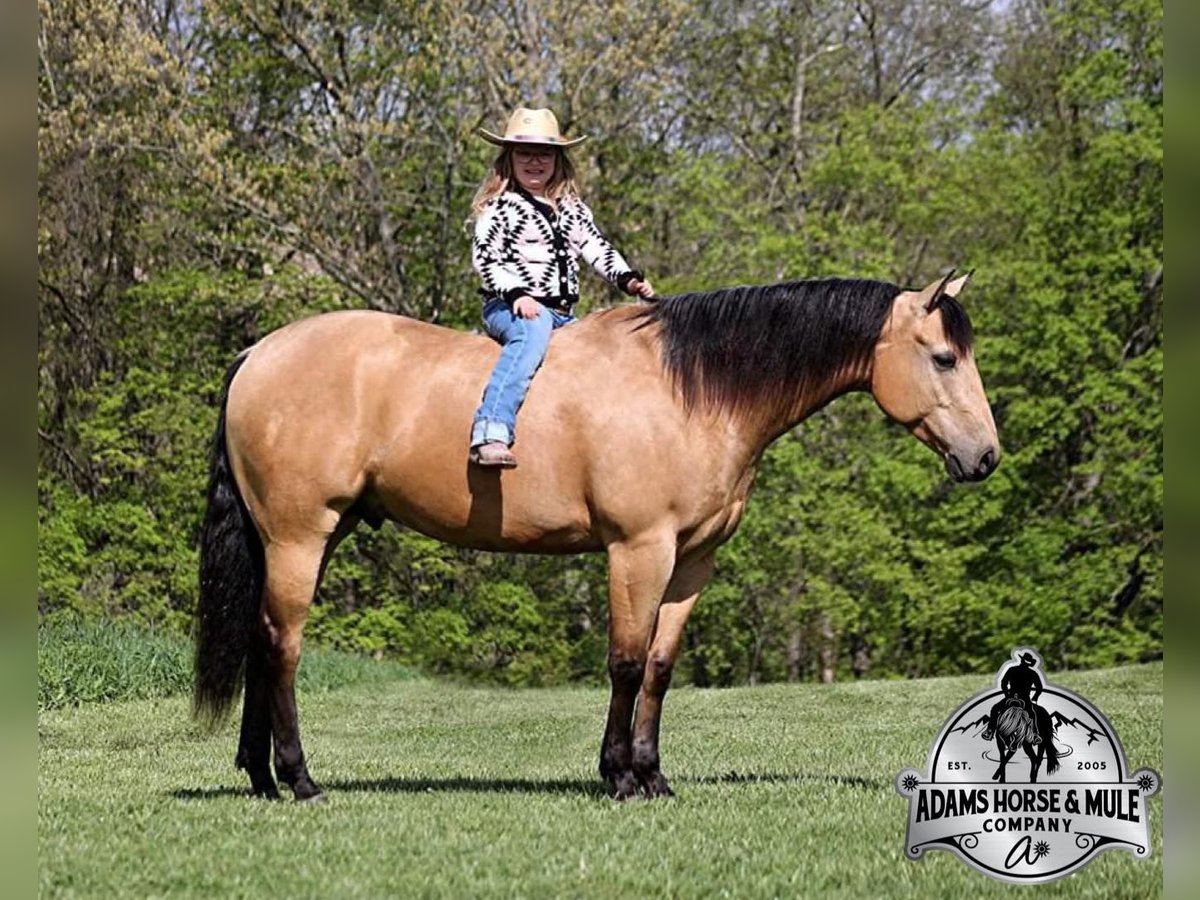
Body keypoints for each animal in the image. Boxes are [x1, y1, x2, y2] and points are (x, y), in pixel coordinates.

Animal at [192, 270, 998, 801]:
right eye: (944, 357)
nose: (986, 456)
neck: (690, 390)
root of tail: (257, 354)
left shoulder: (692, 561)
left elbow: (662, 669)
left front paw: (653, 775)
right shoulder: (638, 548)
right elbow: (626, 663)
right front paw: (618, 776)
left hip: (303, 538)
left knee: (262, 640)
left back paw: (261, 777)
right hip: (300, 535)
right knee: (283, 646)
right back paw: (300, 779)